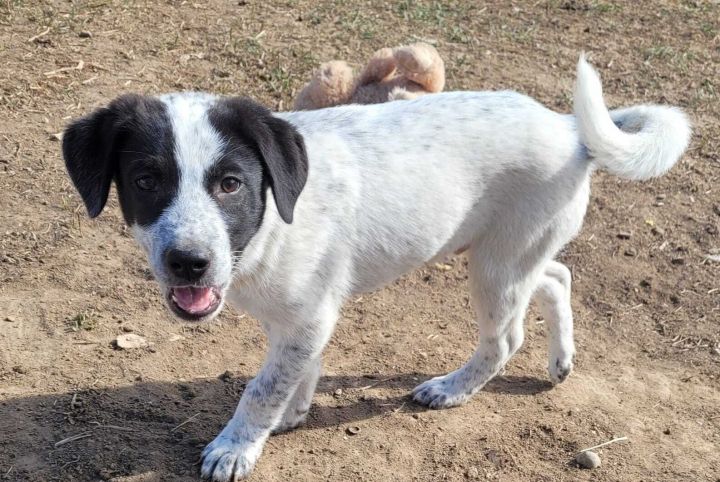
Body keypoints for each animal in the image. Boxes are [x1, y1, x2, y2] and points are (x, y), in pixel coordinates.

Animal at [59, 57, 688, 482]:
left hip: (496, 267)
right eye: (146, 181)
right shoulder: (300, 321)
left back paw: (451, 389)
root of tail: (567, 127)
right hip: (514, 250)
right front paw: (292, 415)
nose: (189, 263)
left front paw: (237, 447)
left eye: (231, 184)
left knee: (506, 337)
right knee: (557, 277)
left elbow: (262, 388)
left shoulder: (308, 316)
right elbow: (295, 373)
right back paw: (560, 361)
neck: (269, 226)